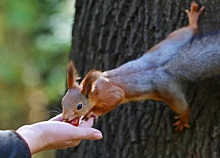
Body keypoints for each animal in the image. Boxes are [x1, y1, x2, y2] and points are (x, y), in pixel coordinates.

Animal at [61, 1, 220, 131]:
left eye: (79, 106)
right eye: (63, 101)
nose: (65, 118)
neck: (96, 89)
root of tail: (167, 67)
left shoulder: (112, 94)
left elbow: (115, 99)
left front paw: (93, 112)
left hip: (169, 92)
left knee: (183, 107)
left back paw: (183, 119)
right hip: (173, 40)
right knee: (189, 30)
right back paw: (193, 19)